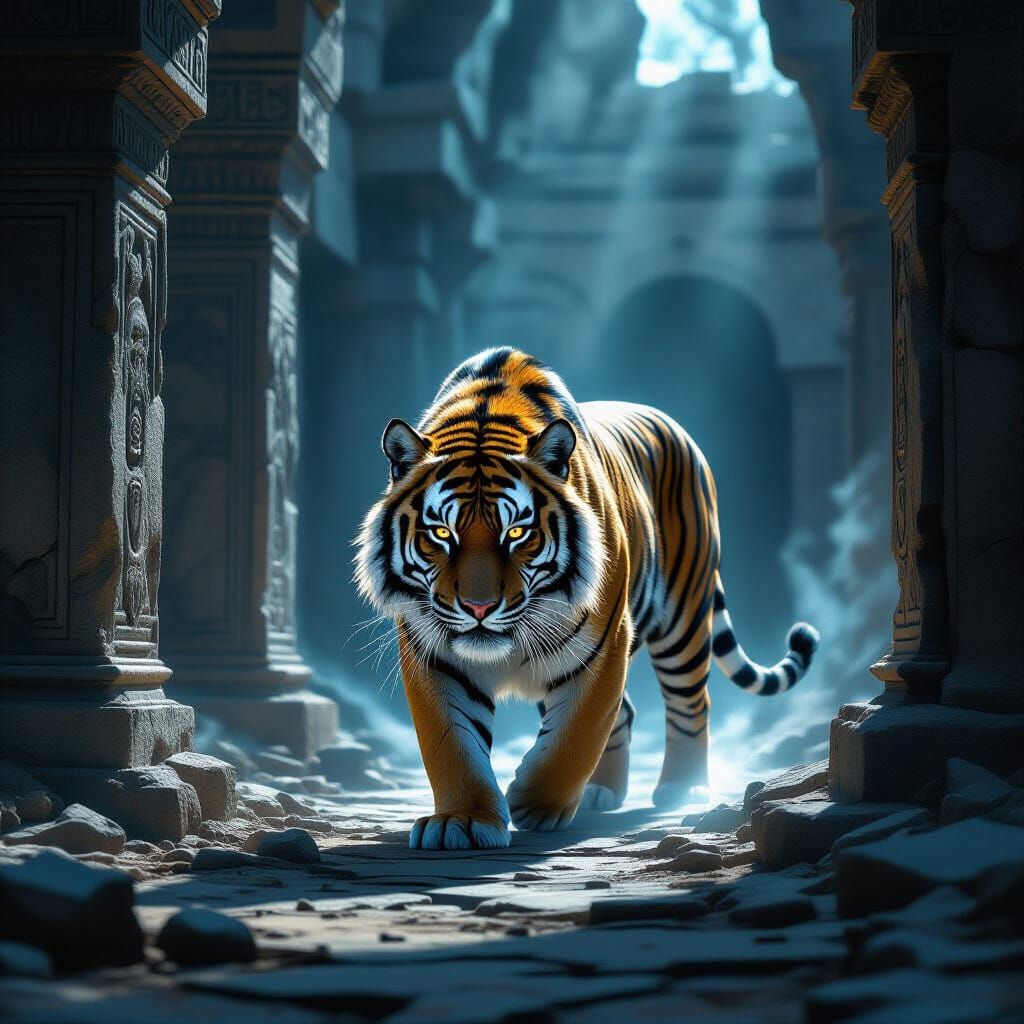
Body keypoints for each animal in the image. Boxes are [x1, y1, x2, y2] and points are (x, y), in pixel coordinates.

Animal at [355, 348, 818, 850]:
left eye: (516, 533)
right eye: (441, 533)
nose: (479, 609)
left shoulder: (603, 642)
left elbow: (576, 734)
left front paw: (535, 803)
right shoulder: (434, 654)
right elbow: (452, 743)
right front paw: (462, 820)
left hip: (683, 618)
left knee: (691, 702)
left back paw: (683, 788)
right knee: (627, 713)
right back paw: (601, 792)